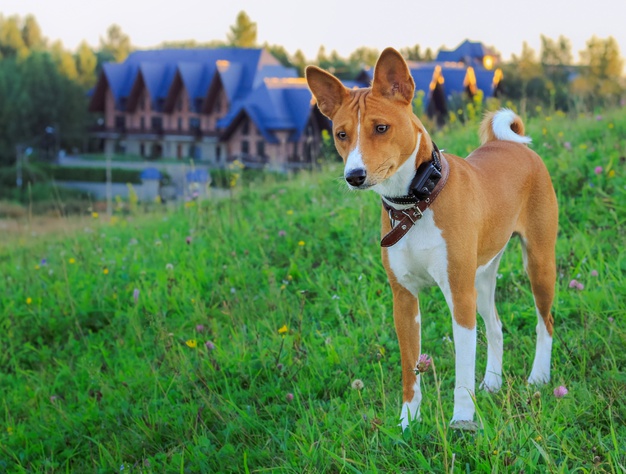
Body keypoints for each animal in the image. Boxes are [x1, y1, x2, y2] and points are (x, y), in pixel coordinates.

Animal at [304, 47, 552, 430]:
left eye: (381, 128)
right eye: (342, 134)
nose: (354, 175)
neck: (415, 205)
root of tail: (509, 143)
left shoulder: (458, 296)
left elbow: (462, 372)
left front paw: (462, 420)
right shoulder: (404, 299)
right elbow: (410, 368)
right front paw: (408, 422)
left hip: (538, 263)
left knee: (545, 323)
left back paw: (539, 376)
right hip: (482, 277)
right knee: (496, 326)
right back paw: (493, 383)